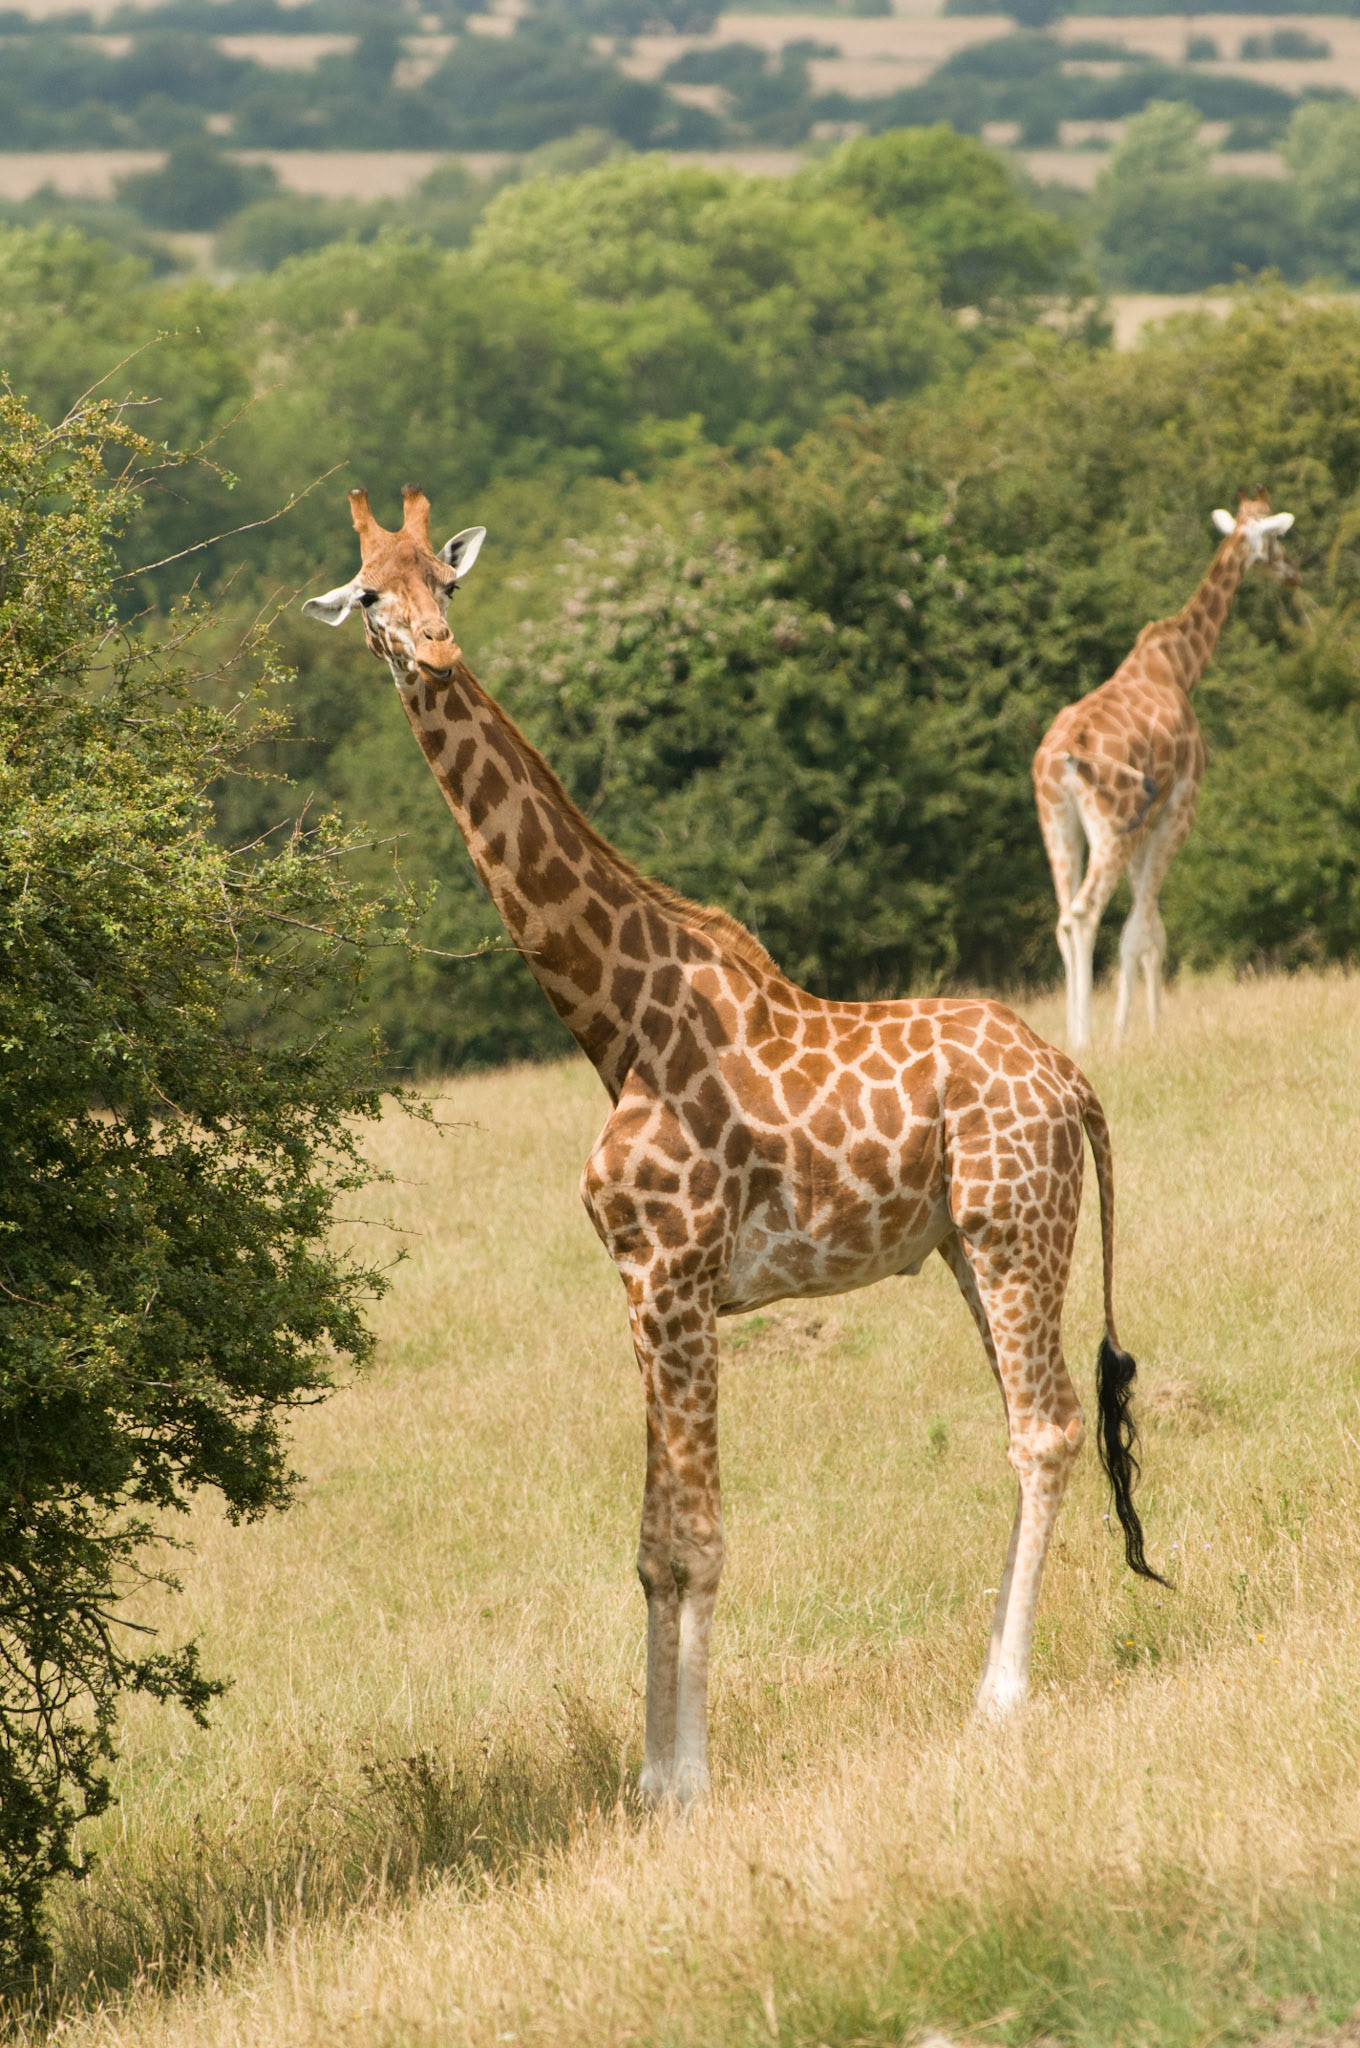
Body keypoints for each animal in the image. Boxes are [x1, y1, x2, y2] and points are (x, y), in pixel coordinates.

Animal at [304, 486, 1165, 1803]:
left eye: (444, 585)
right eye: (366, 593)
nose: (434, 652)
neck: (615, 1018)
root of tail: (1073, 1081)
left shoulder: (676, 1271)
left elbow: (696, 1540)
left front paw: (688, 1781)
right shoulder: (645, 1284)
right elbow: (653, 1542)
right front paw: (649, 1780)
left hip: (1013, 1229)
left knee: (1048, 1424)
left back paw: (998, 1698)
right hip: (973, 1242)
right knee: (1046, 1421)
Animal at [1033, 489, 1298, 1053]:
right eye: (1278, 539)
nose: (1293, 574)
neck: (1180, 665)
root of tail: (1063, 757)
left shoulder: (1149, 823)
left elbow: (1151, 928)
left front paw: (1150, 1023)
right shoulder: (1180, 808)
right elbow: (1140, 930)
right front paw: (1127, 1031)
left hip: (1057, 822)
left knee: (1064, 917)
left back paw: (1066, 1035)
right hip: (1111, 826)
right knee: (1085, 913)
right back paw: (1085, 1037)